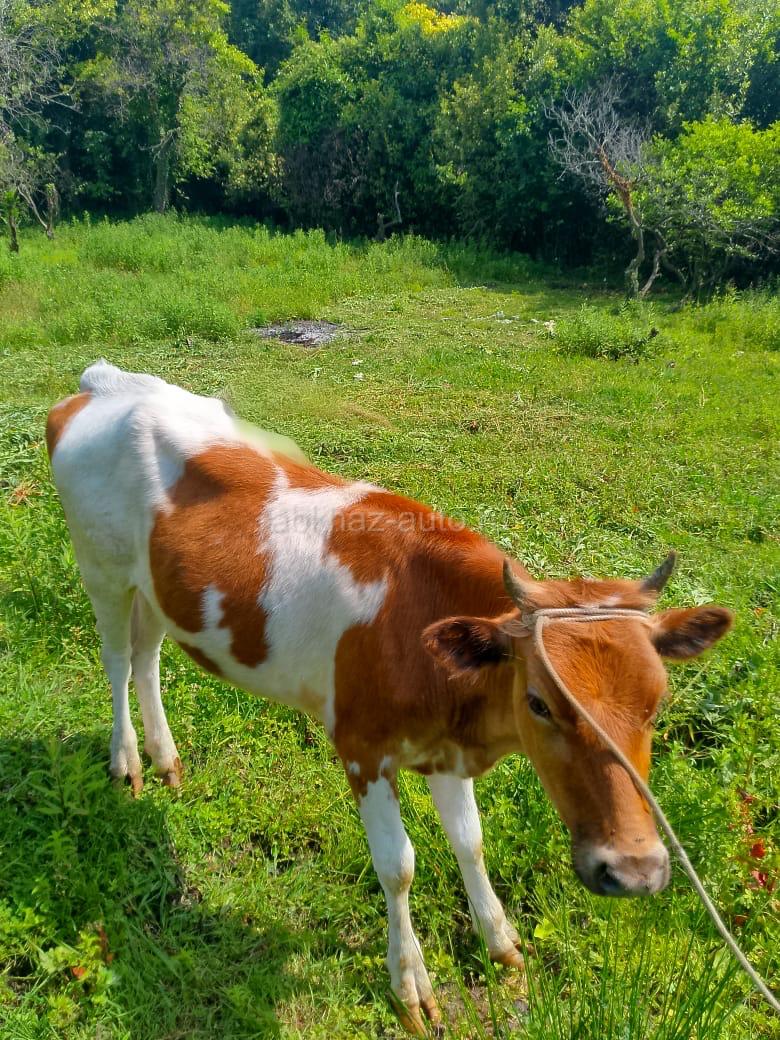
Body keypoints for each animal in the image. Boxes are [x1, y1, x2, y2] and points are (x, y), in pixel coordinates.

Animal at [46, 361, 733, 1034]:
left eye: (659, 701)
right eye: (539, 701)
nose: (635, 871)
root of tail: (106, 382)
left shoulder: (443, 747)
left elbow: (470, 842)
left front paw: (502, 945)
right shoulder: (361, 746)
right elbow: (398, 865)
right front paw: (410, 988)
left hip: (159, 587)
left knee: (146, 658)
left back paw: (166, 760)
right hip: (101, 569)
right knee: (117, 660)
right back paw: (128, 762)